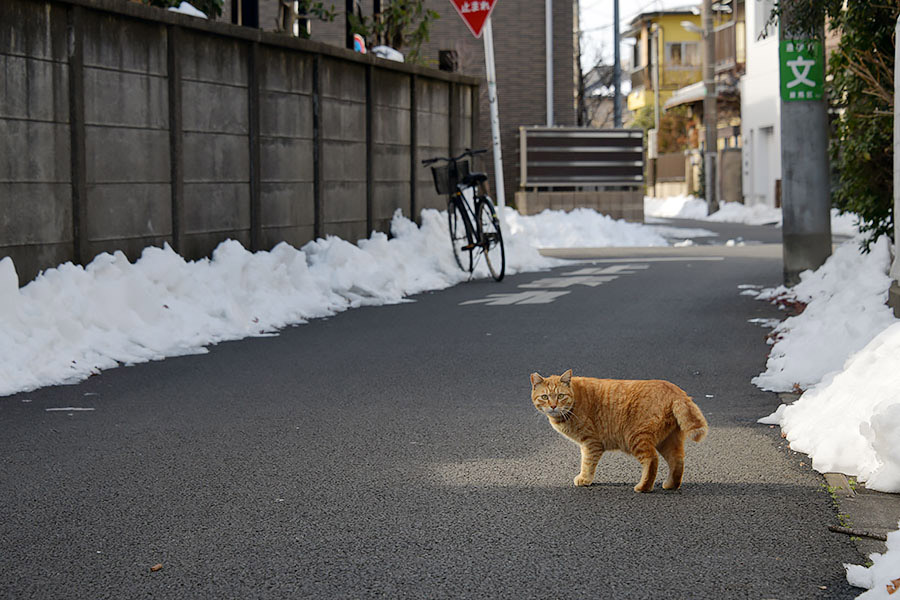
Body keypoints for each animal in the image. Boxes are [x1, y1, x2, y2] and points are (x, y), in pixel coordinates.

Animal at [532, 370, 708, 492]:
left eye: (560, 396)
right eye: (545, 397)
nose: (553, 406)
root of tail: (676, 390)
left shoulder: (590, 442)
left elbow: (587, 463)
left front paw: (584, 479)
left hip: (636, 437)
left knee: (652, 460)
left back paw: (643, 487)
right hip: (668, 441)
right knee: (677, 462)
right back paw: (670, 485)